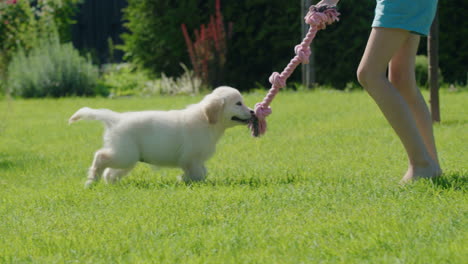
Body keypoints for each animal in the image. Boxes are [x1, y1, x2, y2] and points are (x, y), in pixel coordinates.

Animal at [68, 85, 252, 187]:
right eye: (238, 103)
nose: (252, 112)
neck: (207, 120)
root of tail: (115, 118)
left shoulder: (195, 160)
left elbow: (202, 172)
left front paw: (184, 179)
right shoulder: (192, 158)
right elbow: (198, 174)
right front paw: (189, 181)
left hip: (126, 156)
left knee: (110, 172)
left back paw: (110, 183)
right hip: (125, 154)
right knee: (100, 157)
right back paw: (91, 181)